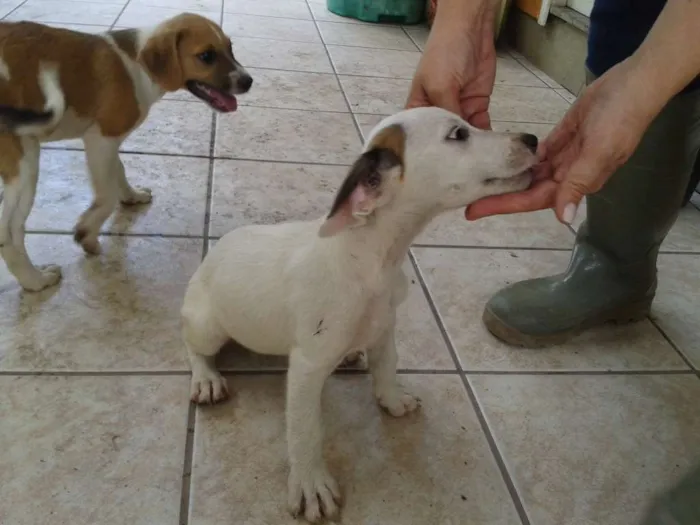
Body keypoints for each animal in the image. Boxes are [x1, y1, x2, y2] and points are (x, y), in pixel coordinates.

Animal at [0, 13, 252, 290]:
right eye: (207, 56)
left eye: (230, 48)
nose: (248, 81)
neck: (139, 68)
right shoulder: (100, 138)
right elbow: (107, 195)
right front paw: (87, 232)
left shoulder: (109, 143)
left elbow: (118, 170)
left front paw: (132, 195)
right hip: (25, 160)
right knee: (8, 232)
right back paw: (35, 280)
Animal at [180, 105, 536, 520]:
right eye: (458, 134)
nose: (533, 139)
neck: (372, 256)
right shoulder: (307, 367)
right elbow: (306, 431)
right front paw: (311, 483)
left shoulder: (384, 328)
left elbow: (386, 367)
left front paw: (392, 400)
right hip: (207, 325)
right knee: (194, 348)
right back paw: (206, 378)